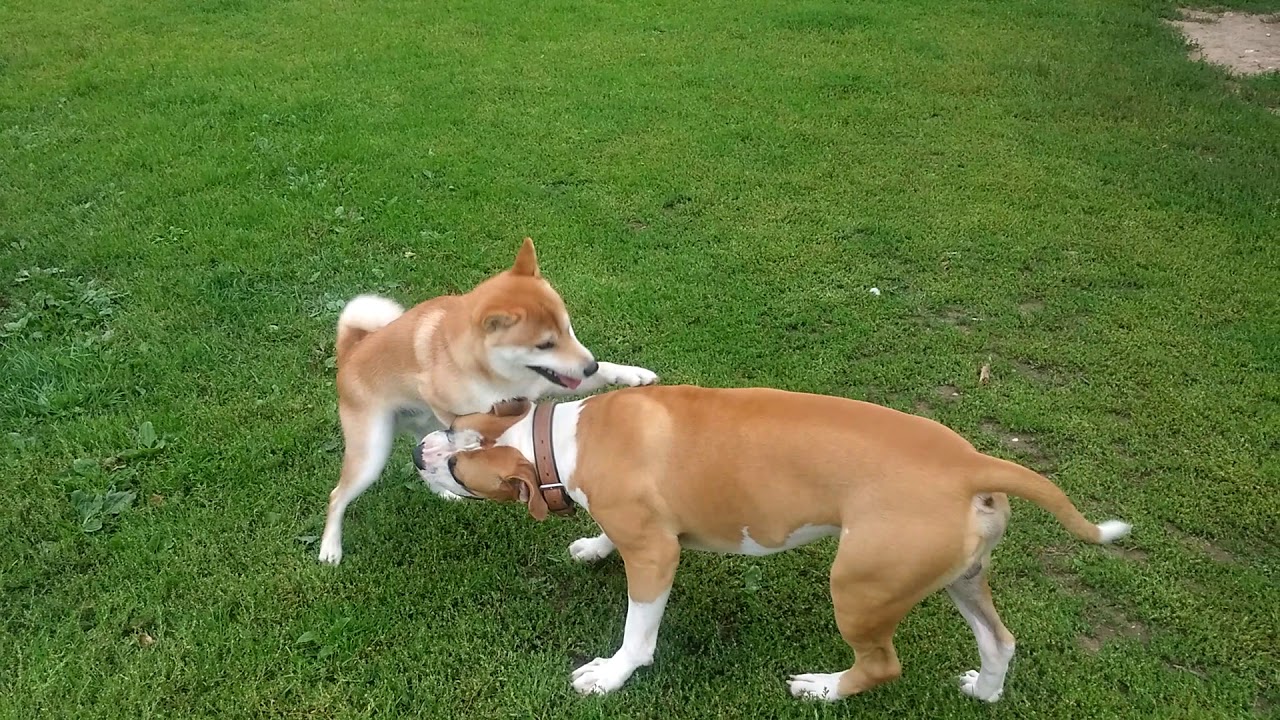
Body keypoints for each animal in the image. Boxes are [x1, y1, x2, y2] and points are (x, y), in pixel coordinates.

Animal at [320, 238, 660, 563]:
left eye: (568, 328)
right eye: (544, 344)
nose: (588, 365)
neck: (500, 373)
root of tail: (350, 352)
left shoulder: (545, 379)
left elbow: (603, 371)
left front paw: (633, 375)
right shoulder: (449, 399)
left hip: (421, 426)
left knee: (418, 456)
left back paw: (444, 490)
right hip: (371, 452)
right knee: (338, 495)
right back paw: (330, 548)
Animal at [414, 386, 1136, 702]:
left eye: (460, 469)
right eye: (450, 426)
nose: (422, 451)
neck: (559, 439)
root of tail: (970, 464)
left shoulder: (657, 556)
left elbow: (639, 633)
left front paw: (613, 674)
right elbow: (608, 538)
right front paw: (594, 546)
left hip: (861, 587)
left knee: (882, 665)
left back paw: (823, 688)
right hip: (960, 577)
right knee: (999, 641)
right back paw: (984, 690)